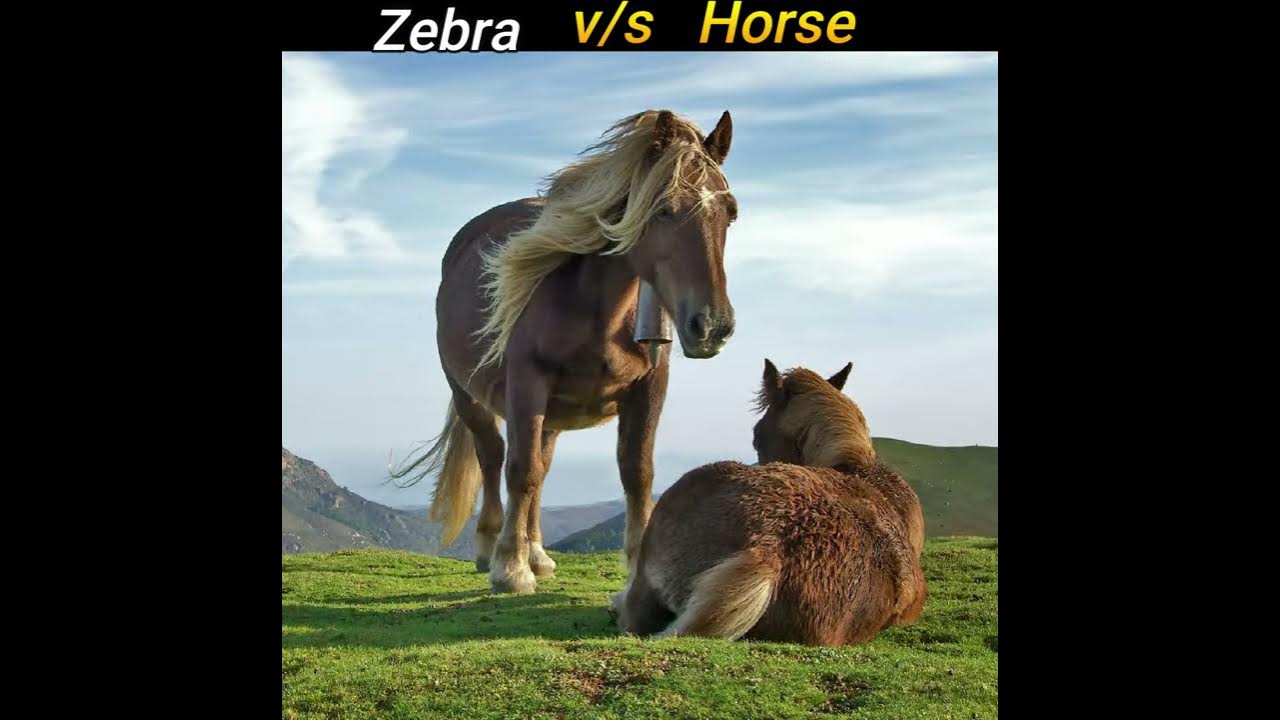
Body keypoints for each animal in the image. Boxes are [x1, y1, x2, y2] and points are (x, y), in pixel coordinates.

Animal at [390, 110, 739, 594]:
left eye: (731, 213)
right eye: (664, 210)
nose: (711, 326)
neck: (597, 309)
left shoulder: (650, 387)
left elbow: (637, 472)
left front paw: (634, 570)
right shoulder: (526, 385)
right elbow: (520, 470)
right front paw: (510, 569)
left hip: (554, 413)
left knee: (543, 465)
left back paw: (537, 552)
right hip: (469, 396)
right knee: (493, 457)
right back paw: (491, 547)